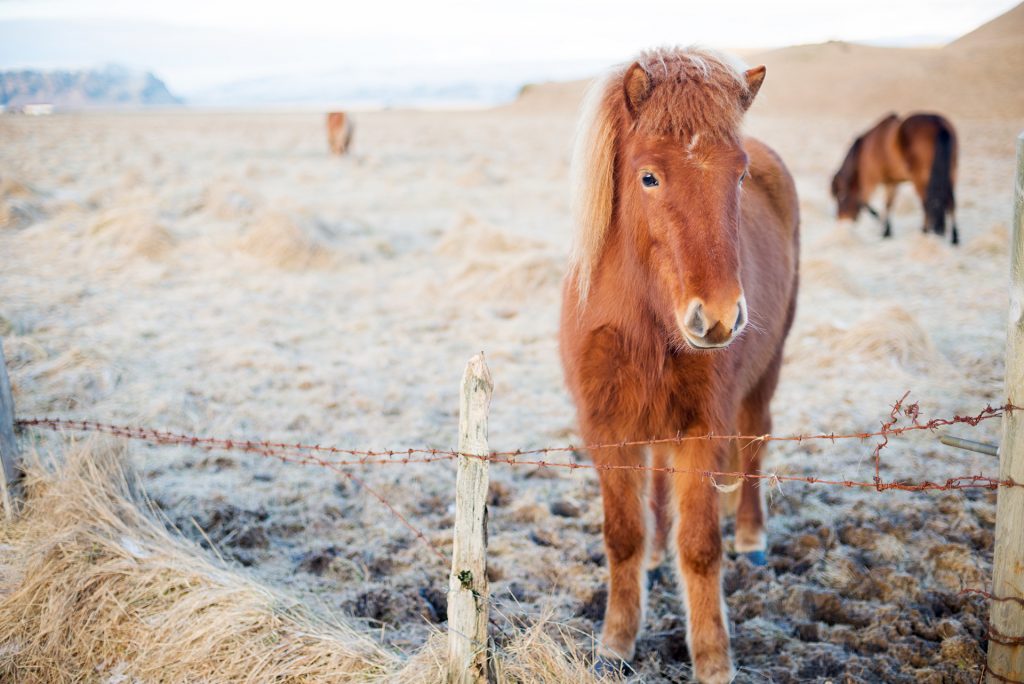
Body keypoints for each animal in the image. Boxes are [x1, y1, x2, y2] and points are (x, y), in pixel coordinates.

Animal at [561, 49, 798, 684]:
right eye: (649, 177)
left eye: (738, 176)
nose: (717, 318)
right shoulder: (607, 431)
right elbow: (622, 537)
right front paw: (615, 644)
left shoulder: (703, 430)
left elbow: (700, 547)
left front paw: (713, 659)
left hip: (764, 376)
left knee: (755, 445)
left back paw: (752, 538)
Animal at [831, 114, 958, 245]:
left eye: (841, 196)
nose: (841, 219)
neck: (864, 150)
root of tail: (939, 125)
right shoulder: (891, 182)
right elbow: (888, 204)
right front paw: (886, 232)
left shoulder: (871, 178)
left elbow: (864, 201)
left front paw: (879, 221)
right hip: (951, 173)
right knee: (950, 202)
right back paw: (954, 238)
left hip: (921, 178)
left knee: (928, 204)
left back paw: (924, 232)